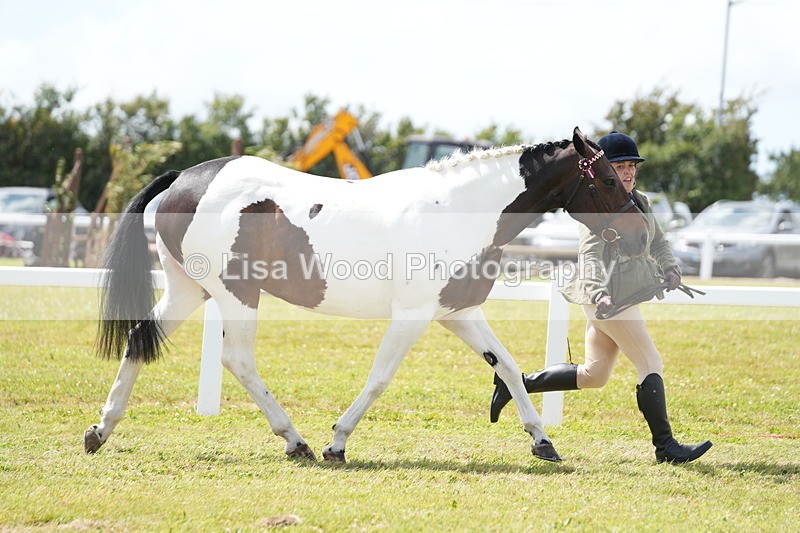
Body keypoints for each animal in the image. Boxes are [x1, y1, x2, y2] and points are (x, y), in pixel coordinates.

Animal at [84, 127, 648, 463]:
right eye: (607, 179)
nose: (642, 232)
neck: (455, 210)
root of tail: (185, 177)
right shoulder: (413, 316)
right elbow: (380, 377)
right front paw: (337, 441)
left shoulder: (459, 311)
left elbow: (507, 366)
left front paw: (543, 441)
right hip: (235, 294)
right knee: (237, 359)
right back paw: (297, 441)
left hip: (190, 290)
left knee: (140, 339)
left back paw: (100, 430)